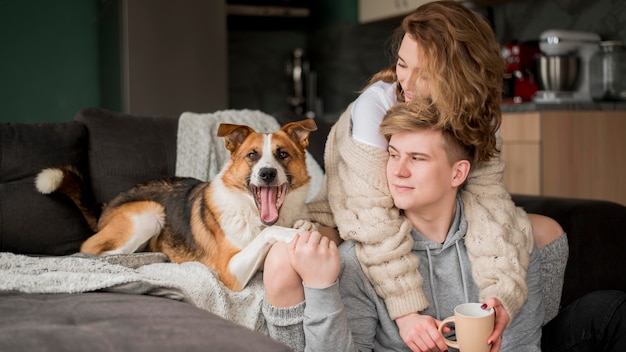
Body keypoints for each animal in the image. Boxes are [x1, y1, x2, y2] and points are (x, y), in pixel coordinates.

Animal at [35, 119, 316, 292]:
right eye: (252, 155)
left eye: (282, 154)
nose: (267, 173)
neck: (255, 214)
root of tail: (105, 205)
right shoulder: (230, 271)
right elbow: (271, 232)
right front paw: (292, 233)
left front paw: (304, 224)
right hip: (150, 213)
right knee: (91, 250)